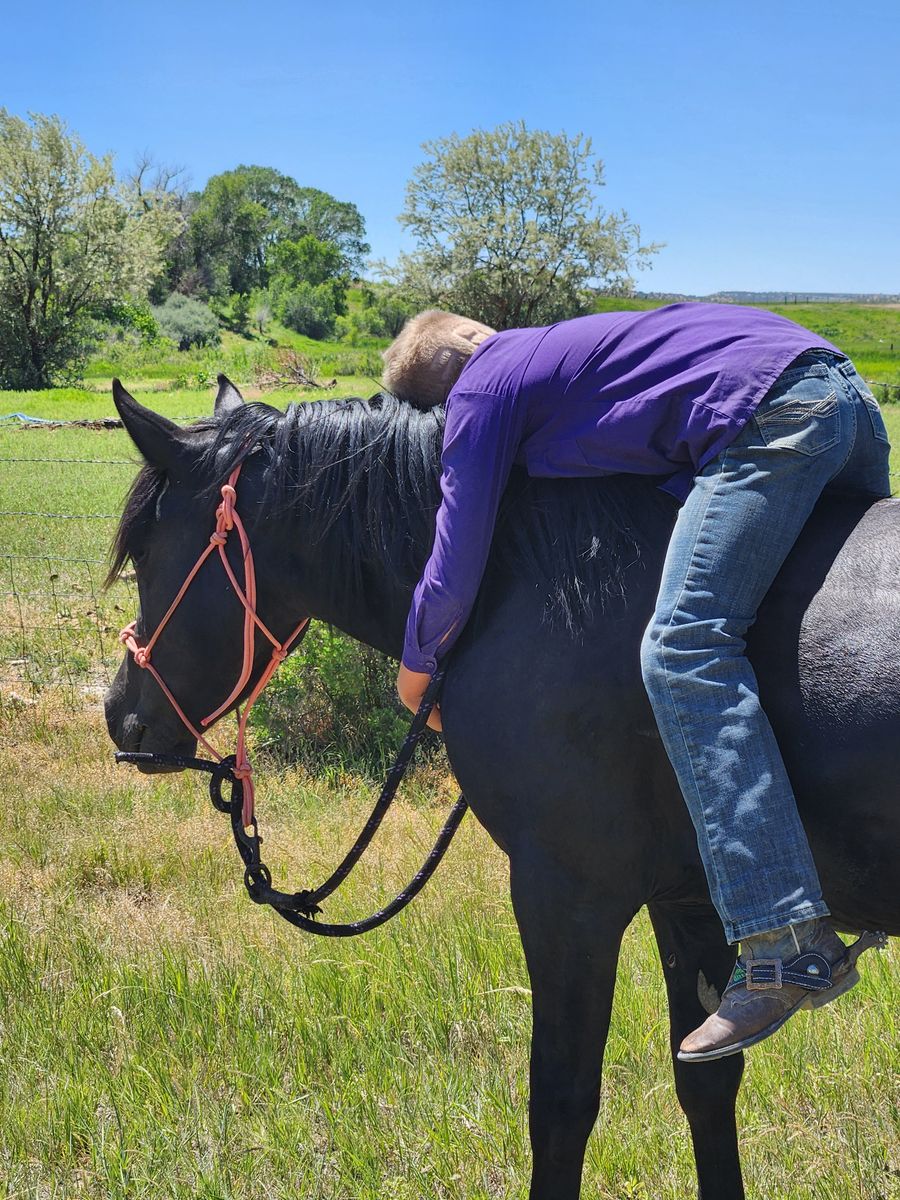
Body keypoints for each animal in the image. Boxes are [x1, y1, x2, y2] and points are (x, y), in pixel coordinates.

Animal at [104, 376, 898, 1200]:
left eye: (143, 553)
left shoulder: (568, 898)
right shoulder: (691, 902)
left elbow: (561, 1107)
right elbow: (706, 1082)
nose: (121, 712)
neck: (525, 578)